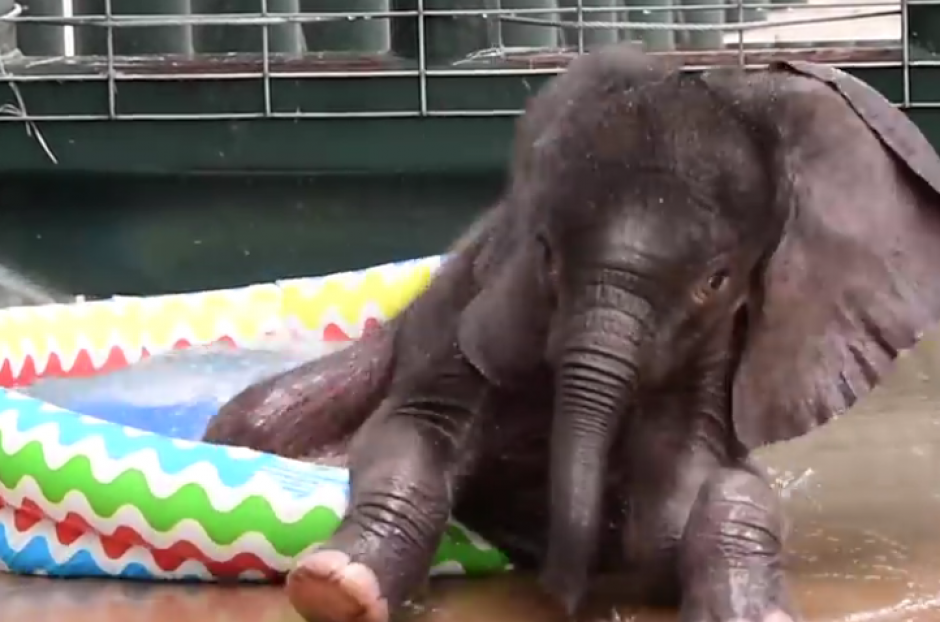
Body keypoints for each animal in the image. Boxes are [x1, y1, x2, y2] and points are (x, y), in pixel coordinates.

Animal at [202, 49, 940, 622]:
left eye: (716, 281)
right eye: (548, 254)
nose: (566, 591)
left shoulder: (716, 345)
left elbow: (696, 484)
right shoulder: (484, 294)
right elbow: (414, 435)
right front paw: (335, 587)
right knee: (260, 414)